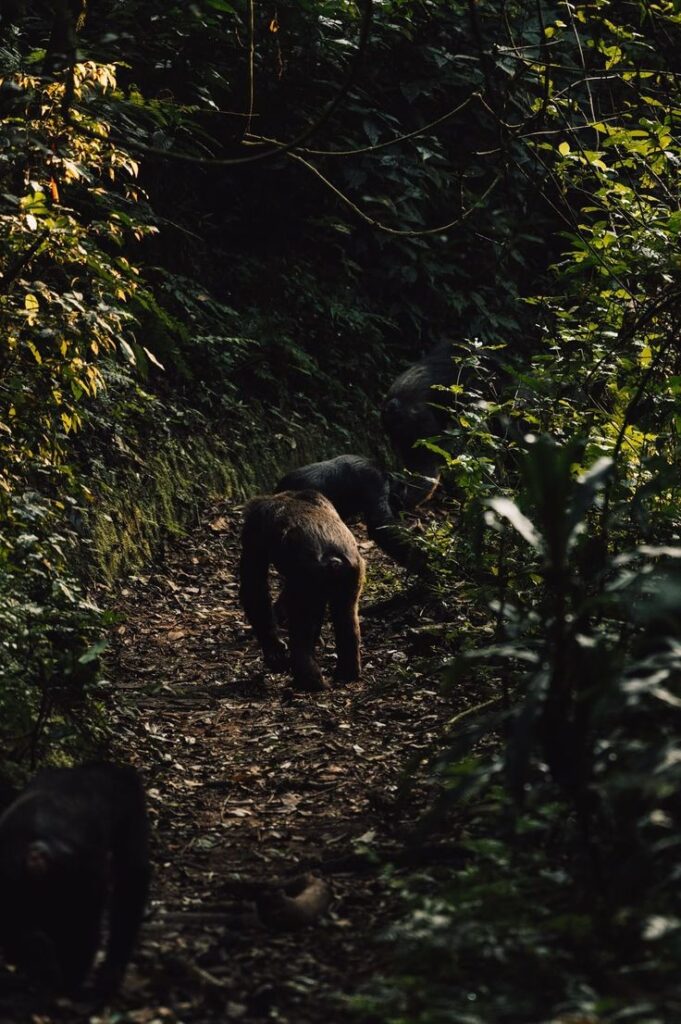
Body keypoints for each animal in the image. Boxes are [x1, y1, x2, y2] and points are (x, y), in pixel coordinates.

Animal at [240, 489, 366, 696]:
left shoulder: (253, 525)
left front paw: (274, 652)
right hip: (354, 571)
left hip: (310, 578)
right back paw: (347, 673)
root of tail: (333, 559)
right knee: (346, 616)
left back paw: (308, 681)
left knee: (301, 631)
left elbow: (254, 585)